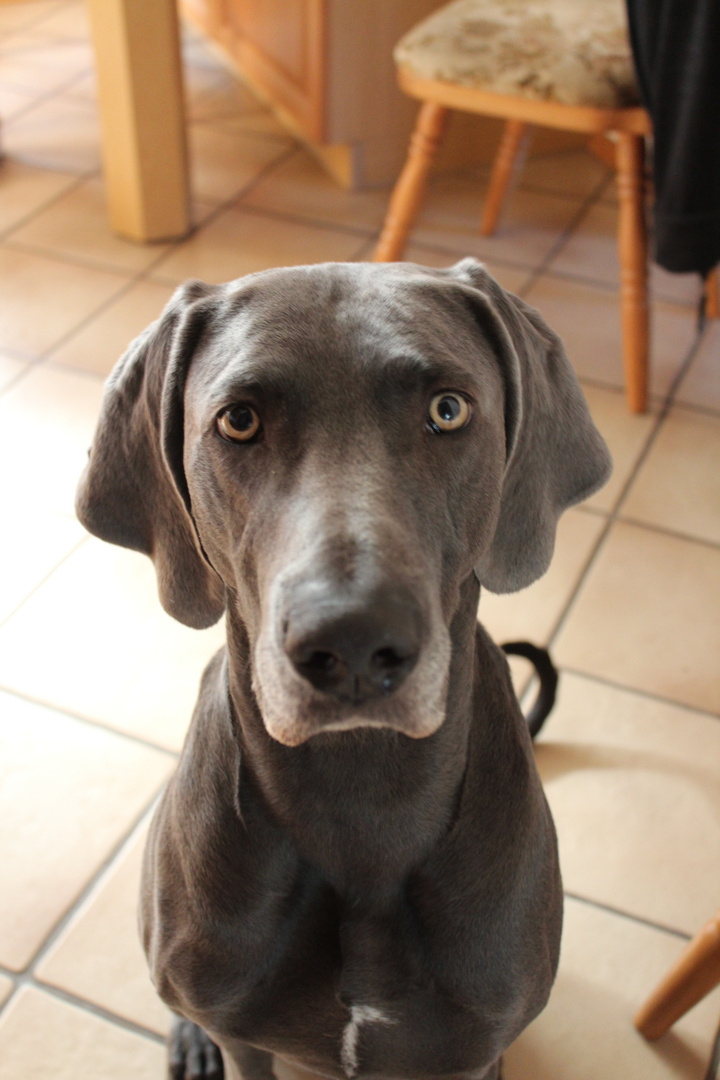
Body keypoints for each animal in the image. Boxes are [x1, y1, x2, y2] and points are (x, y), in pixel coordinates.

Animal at [76, 259, 613, 1080]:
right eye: (239, 421)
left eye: (448, 410)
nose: (354, 643)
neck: (361, 796)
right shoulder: (246, 1038)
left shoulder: (470, 1049)